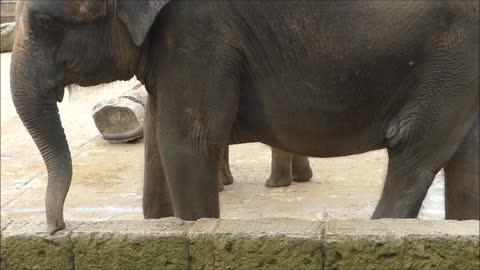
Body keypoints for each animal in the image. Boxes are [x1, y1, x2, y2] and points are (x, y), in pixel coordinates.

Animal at [10, 0, 476, 234]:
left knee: (414, 151)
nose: (57, 228)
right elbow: (158, 146)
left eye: (45, 20)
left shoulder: (198, 31)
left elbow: (186, 143)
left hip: (452, 53)